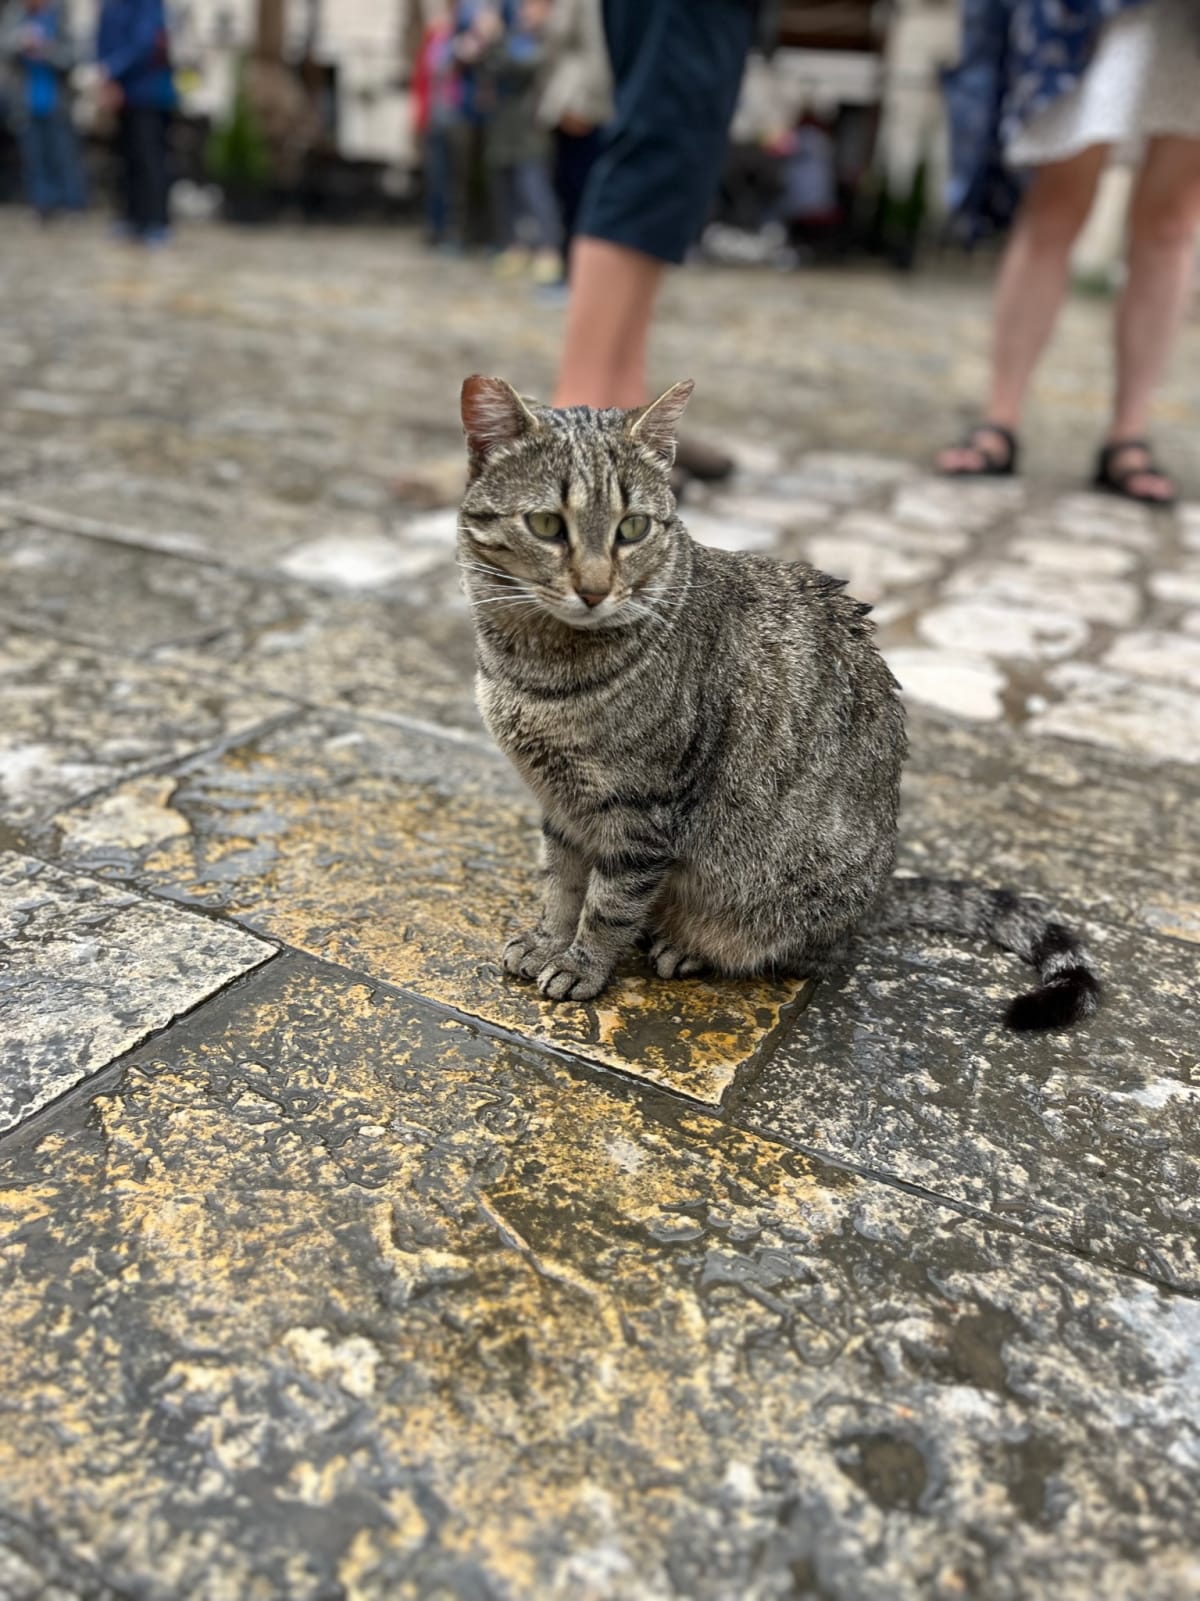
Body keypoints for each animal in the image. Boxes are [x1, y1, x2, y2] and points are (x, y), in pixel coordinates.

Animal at [454, 371, 1107, 1024]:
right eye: (546, 525)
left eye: (632, 528)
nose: (594, 590)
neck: (532, 667)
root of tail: (876, 895)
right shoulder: (562, 805)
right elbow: (560, 884)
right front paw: (547, 941)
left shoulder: (640, 810)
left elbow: (608, 903)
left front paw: (582, 964)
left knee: (801, 953)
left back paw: (687, 946)